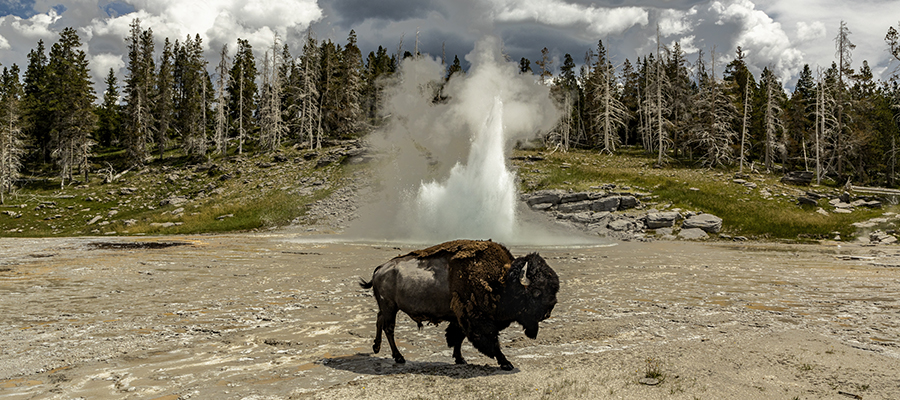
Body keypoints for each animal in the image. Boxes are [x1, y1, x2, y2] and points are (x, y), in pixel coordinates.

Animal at [359, 239, 559, 370]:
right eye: (536, 292)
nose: (547, 313)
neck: (502, 282)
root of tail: (380, 269)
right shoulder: (476, 320)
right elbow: (491, 341)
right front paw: (506, 363)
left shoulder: (460, 318)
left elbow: (458, 338)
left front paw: (460, 359)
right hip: (390, 307)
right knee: (389, 328)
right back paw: (399, 357)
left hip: (386, 307)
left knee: (379, 320)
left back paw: (376, 348)